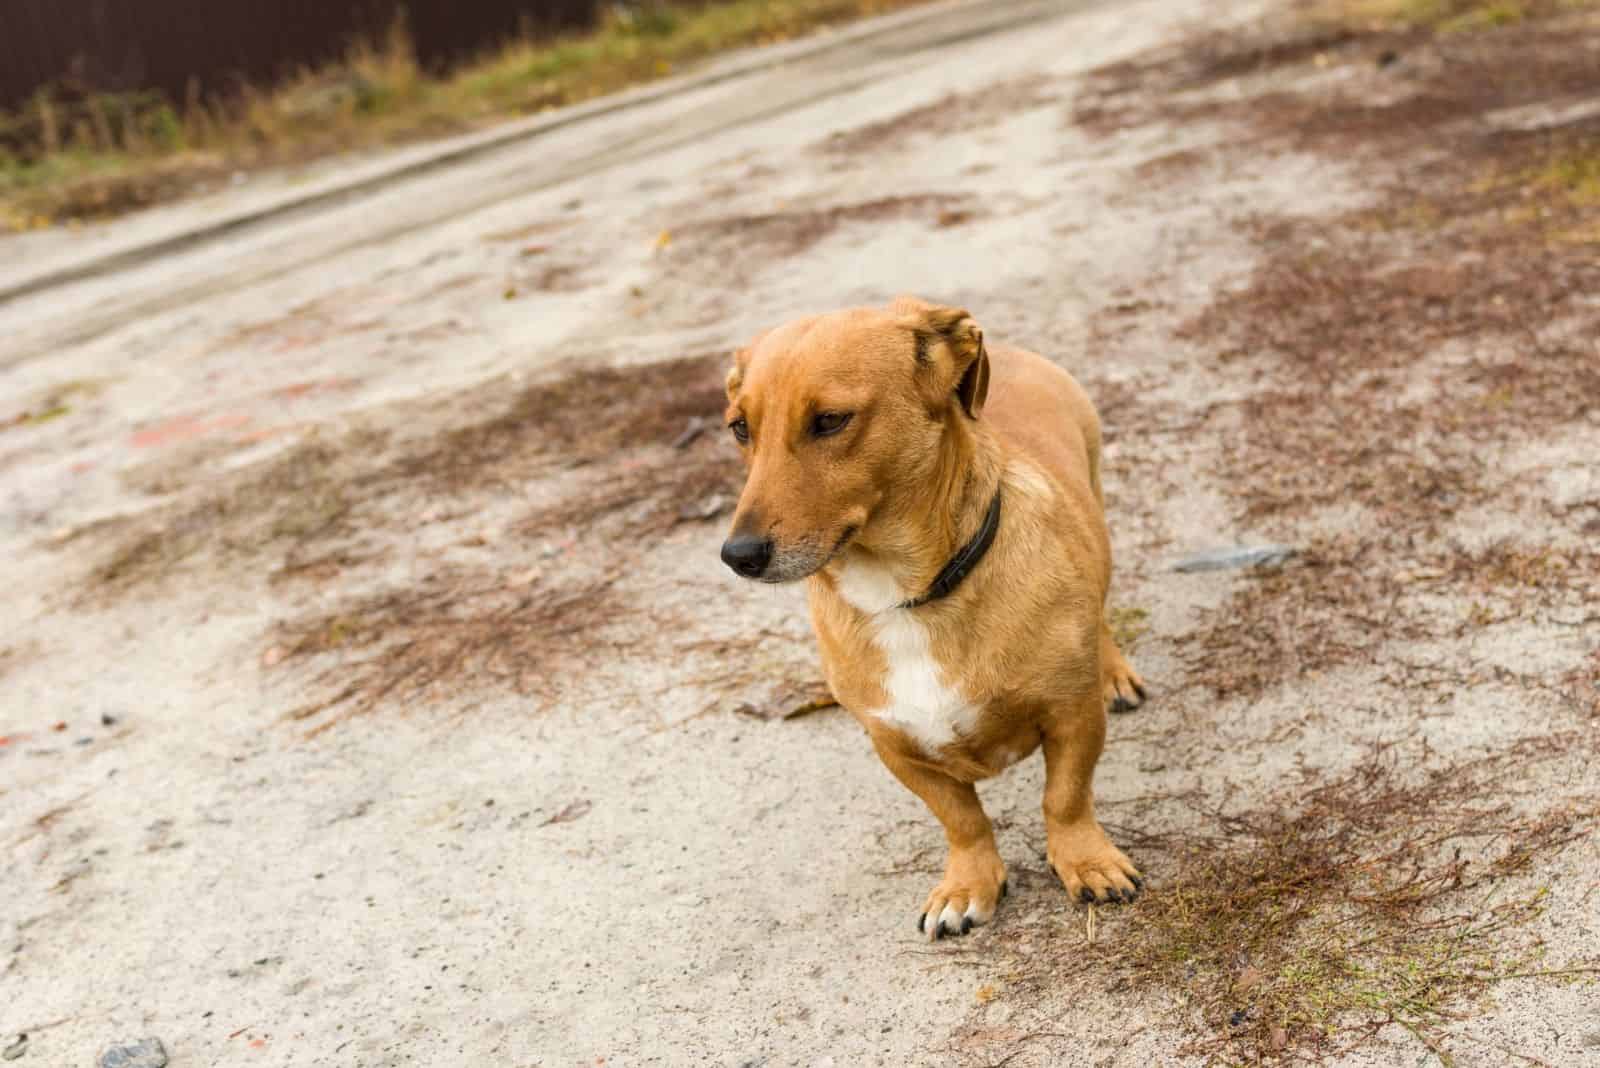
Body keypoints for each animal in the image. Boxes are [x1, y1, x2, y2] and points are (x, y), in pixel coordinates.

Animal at [720, 295, 1145, 940]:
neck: (905, 600)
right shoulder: (897, 749)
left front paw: (1086, 861)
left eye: (830, 421)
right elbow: (962, 820)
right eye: (740, 427)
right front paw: (968, 885)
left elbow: (1065, 798)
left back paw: (1113, 672)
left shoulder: (1072, 719)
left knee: (1098, 609)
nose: (738, 556)